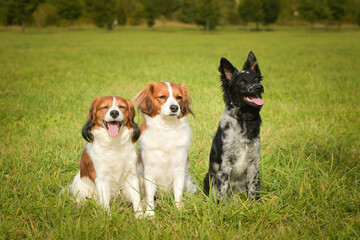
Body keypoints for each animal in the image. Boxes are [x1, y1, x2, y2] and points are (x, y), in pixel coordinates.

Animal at [135, 82, 197, 218]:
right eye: (162, 96)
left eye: (179, 97)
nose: (174, 107)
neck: (167, 130)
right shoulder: (149, 171)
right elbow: (149, 196)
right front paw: (150, 214)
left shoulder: (179, 169)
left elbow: (178, 193)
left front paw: (179, 211)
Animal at [202, 51, 264, 202]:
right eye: (242, 82)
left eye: (256, 79)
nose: (259, 87)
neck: (244, 119)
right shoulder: (225, 166)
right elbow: (222, 191)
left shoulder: (254, 165)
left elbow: (252, 190)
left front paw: (252, 205)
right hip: (209, 177)